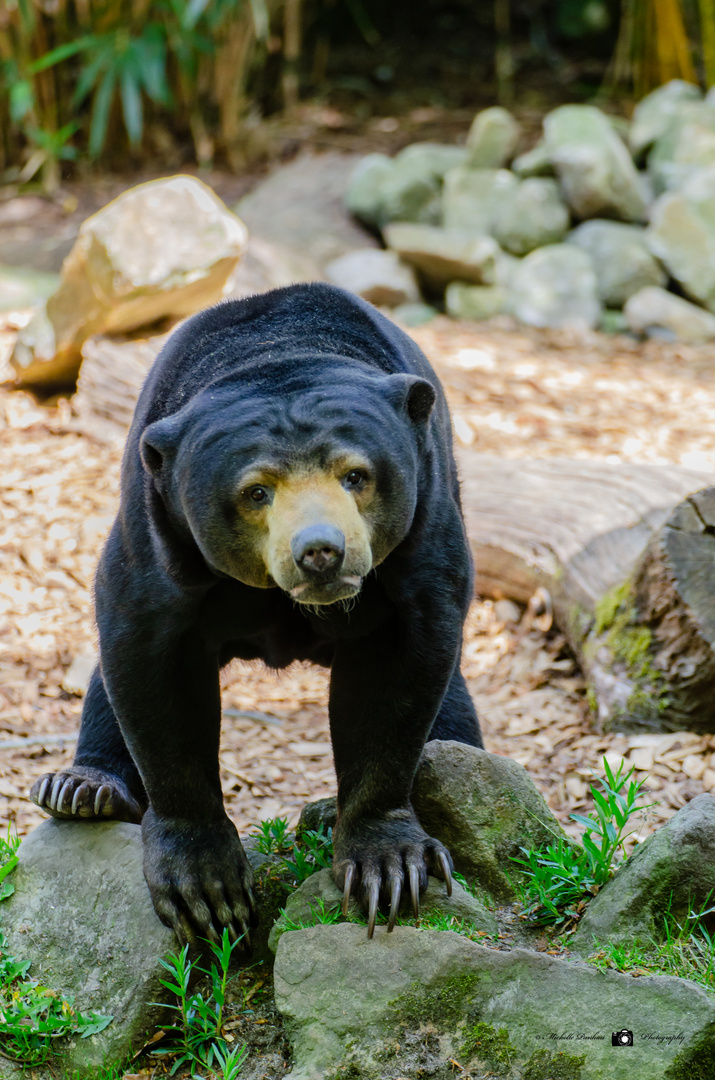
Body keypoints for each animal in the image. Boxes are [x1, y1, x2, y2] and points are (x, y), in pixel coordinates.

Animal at [30, 282, 483, 941]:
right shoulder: (159, 535)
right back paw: (81, 788)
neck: (278, 351)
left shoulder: (423, 530)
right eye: (256, 491)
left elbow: (400, 675)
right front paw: (206, 887)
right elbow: (151, 665)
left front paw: (387, 867)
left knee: (453, 705)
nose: (320, 551)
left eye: (356, 475)